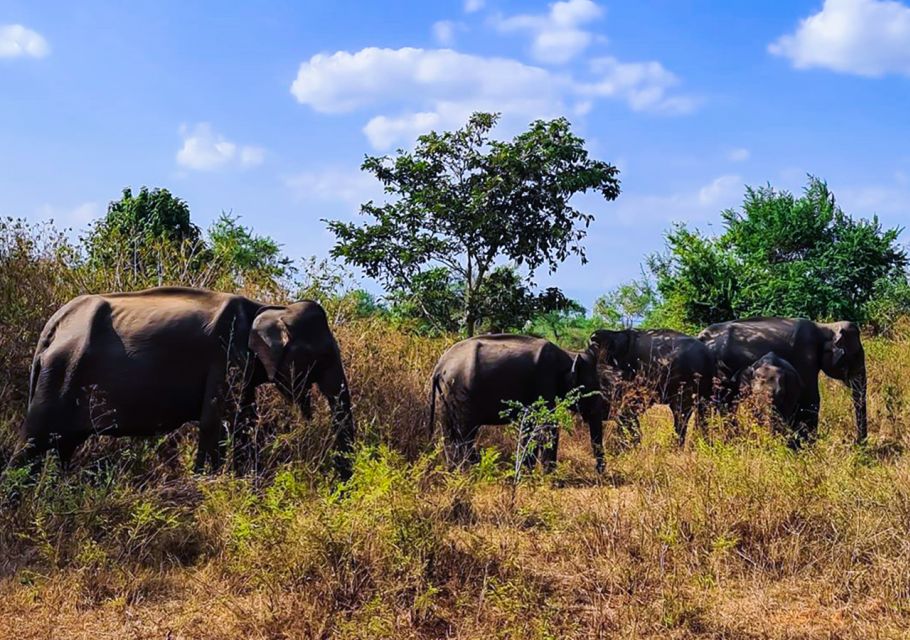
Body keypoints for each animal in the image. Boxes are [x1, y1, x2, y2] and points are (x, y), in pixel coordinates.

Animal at [16, 288, 356, 478]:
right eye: (320, 356)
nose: (339, 483)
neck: (265, 308)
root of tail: (54, 324)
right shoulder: (223, 355)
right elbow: (216, 421)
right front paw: (208, 483)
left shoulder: (240, 366)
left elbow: (244, 423)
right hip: (59, 374)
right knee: (34, 444)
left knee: (63, 446)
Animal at [428, 336, 604, 476]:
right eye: (592, 387)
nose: (600, 472)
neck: (568, 354)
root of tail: (439, 366)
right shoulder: (544, 381)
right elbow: (548, 426)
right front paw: (549, 477)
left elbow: (529, 426)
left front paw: (526, 473)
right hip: (460, 392)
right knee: (465, 434)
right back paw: (467, 473)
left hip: (444, 396)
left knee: (448, 434)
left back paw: (453, 473)